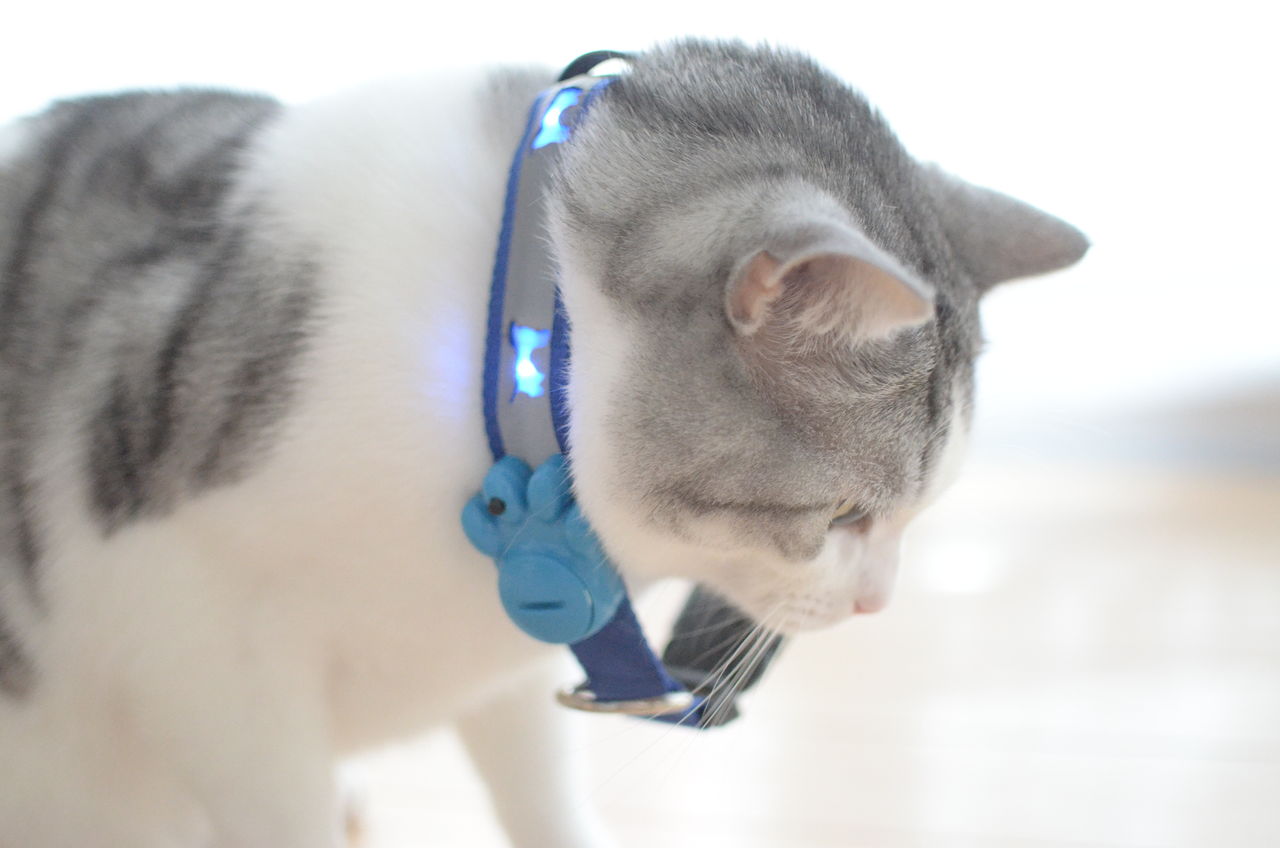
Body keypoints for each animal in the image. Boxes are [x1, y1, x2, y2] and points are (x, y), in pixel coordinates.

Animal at [0, 40, 1087, 847]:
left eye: (918, 512)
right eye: (846, 513)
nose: (877, 602)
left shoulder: (513, 670)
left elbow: (540, 790)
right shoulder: (205, 649)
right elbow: (283, 809)